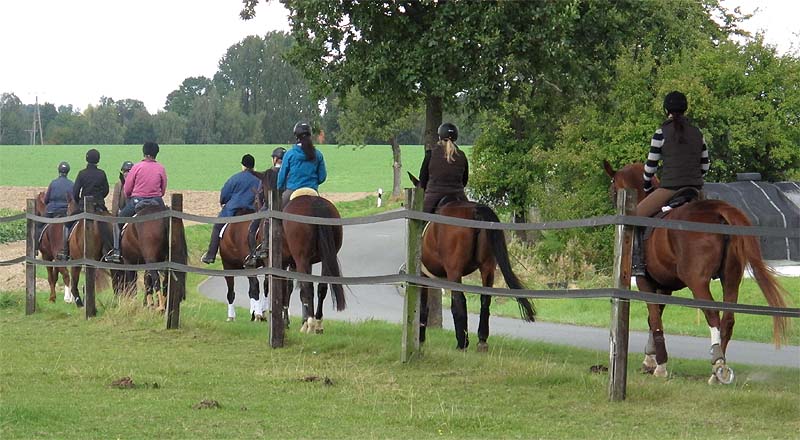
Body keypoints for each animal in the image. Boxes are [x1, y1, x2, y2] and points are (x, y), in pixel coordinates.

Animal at [409, 174, 536, 351]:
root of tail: (474, 210)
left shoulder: (423, 275)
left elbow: (422, 305)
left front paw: (420, 338)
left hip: (454, 271)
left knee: (459, 300)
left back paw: (462, 342)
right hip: (488, 267)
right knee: (485, 299)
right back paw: (482, 340)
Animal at [603, 160, 790, 383]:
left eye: (613, 187)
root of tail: (719, 211)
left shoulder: (644, 282)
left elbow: (654, 318)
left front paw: (659, 365)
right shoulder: (665, 287)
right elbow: (654, 317)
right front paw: (650, 360)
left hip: (697, 282)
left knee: (713, 315)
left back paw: (718, 364)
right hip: (731, 278)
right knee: (728, 319)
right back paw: (717, 371)